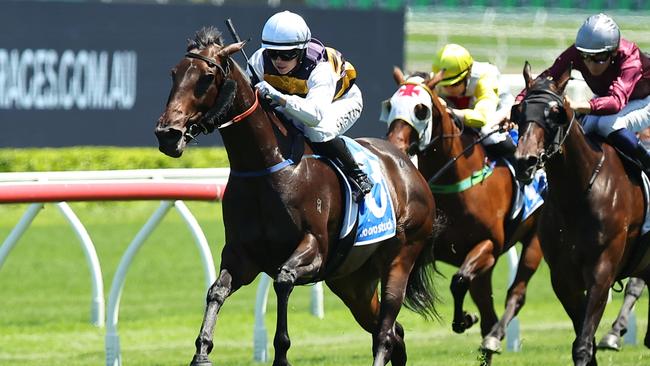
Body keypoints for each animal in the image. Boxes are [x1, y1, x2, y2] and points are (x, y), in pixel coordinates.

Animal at [153, 26, 436, 366]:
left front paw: (281, 354)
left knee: (384, 332)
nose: (167, 134)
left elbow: (283, 280)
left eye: (207, 78)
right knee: (395, 332)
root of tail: (409, 167)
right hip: (352, 281)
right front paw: (202, 352)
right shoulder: (242, 254)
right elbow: (216, 291)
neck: (264, 166)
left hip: (400, 257)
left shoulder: (315, 248)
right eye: (174, 73)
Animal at [382, 68, 544, 358]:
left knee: (516, 292)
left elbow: (458, 280)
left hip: (534, 241)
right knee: (488, 313)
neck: (459, 182)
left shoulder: (489, 245)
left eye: (421, 109)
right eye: (390, 105)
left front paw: (463, 319)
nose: (395, 146)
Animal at [512, 61, 648, 364]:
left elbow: (584, 343)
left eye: (555, 114)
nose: (525, 160)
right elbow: (584, 339)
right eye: (519, 111)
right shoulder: (563, 277)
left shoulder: (602, 270)